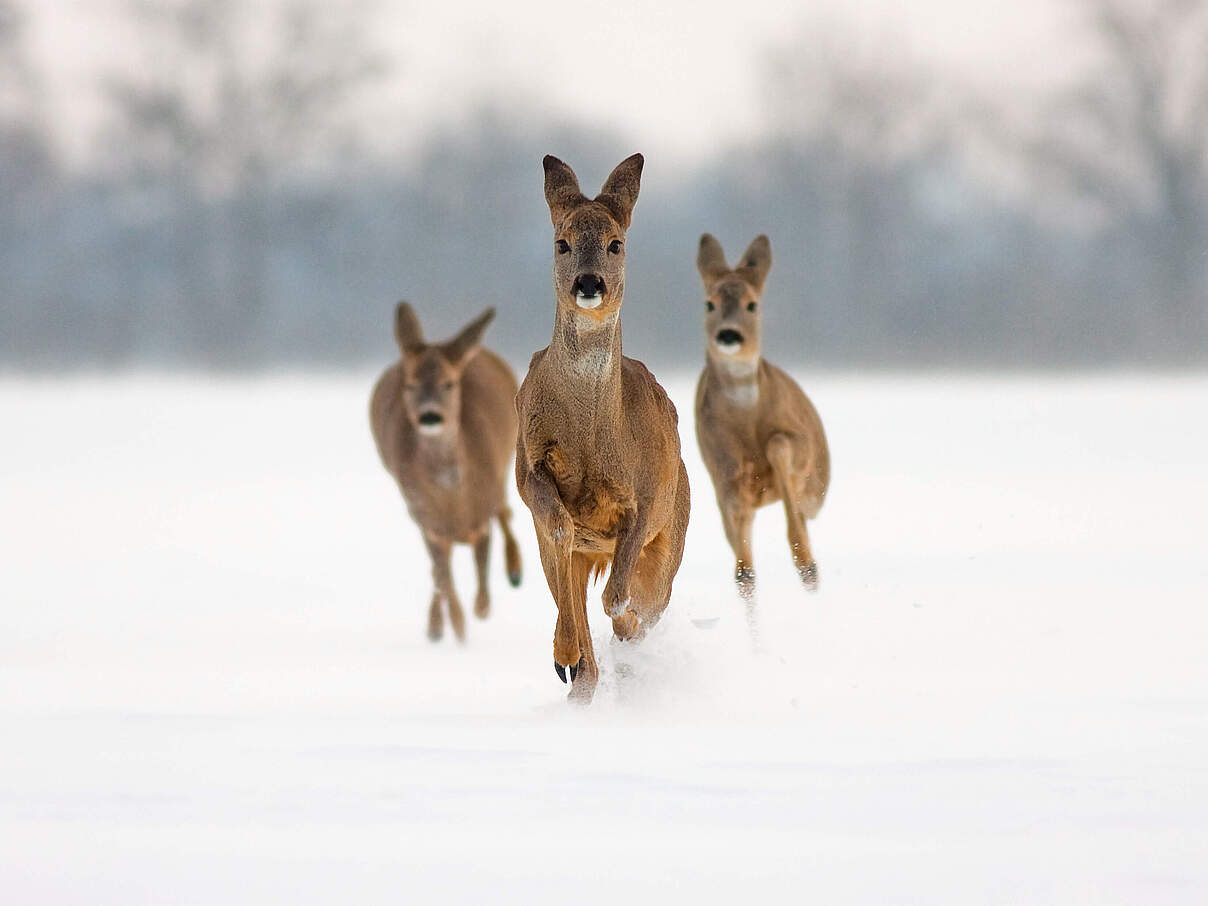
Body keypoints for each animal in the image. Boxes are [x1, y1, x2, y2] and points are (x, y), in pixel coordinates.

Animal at [364, 302, 521, 642]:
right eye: (410, 385)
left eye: (449, 384)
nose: (430, 416)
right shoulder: (426, 520)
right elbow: (443, 577)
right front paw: (457, 629)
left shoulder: (481, 513)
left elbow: (481, 566)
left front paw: (481, 609)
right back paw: (436, 626)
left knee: (506, 509)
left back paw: (516, 571)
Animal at [514, 155, 695, 705]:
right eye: (562, 242)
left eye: (617, 243)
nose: (589, 283)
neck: (594, 437)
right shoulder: (528, 467)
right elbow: (560, 525)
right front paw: (567, 656)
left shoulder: (647, 497)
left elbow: (618, 598)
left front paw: (625, 634)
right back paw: (574, 668)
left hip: (673, 532)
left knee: (643, 600)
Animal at [695, 234, 826, 599]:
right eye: (709, 304)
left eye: (752, 304)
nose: (728, 334)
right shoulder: (722, 471)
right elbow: (743, 568)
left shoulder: (799, 442)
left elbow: (778, 444)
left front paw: (805, 560)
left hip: (817, 487)